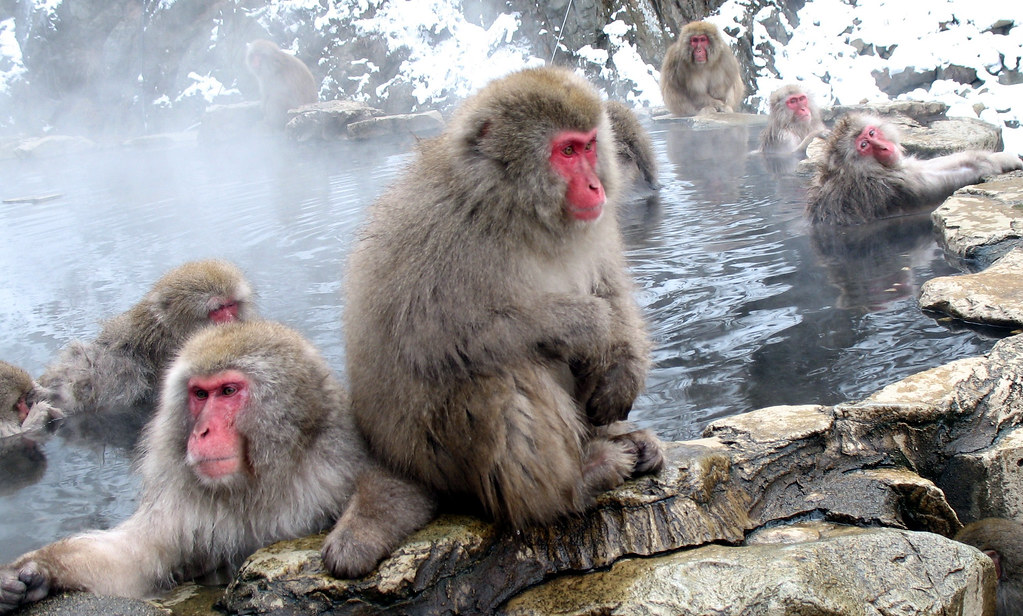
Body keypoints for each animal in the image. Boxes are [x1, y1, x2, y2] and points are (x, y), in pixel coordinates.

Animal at [0, 319, 433, 609]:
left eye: (227, 391)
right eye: (199, 394)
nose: (202, 431)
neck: (257, 483)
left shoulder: (338, 458)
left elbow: (406, 476)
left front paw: (357, 536)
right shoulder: (180, 507)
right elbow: (137, 560)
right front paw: (36, 570)